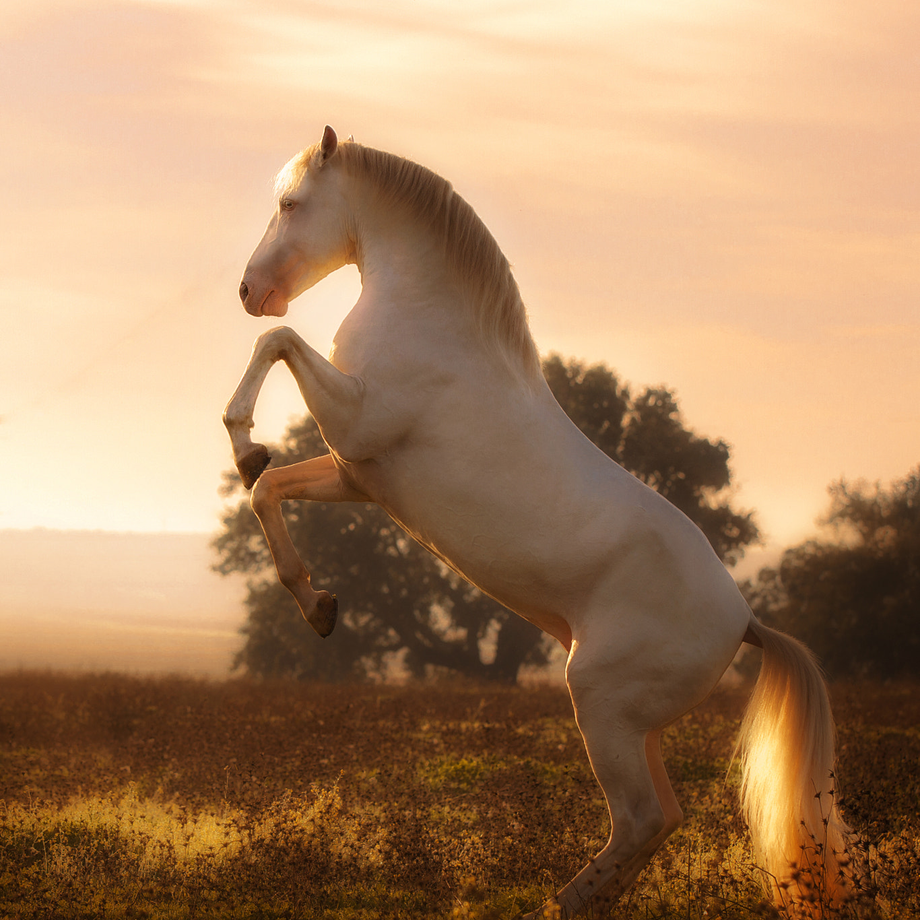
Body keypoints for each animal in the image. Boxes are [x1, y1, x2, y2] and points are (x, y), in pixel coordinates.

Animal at [223, 126, 852, 918]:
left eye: (292, 203)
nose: (250, 292)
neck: (430, 318)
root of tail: (745, 622)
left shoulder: (357, 421)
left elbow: (277, 346)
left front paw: (243, 435)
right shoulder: (357, 474)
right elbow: (267, 490)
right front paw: (319, 606)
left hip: (603, 707)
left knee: (639, 819)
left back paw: (560, 903)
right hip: (635, 727)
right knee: (662, 819)